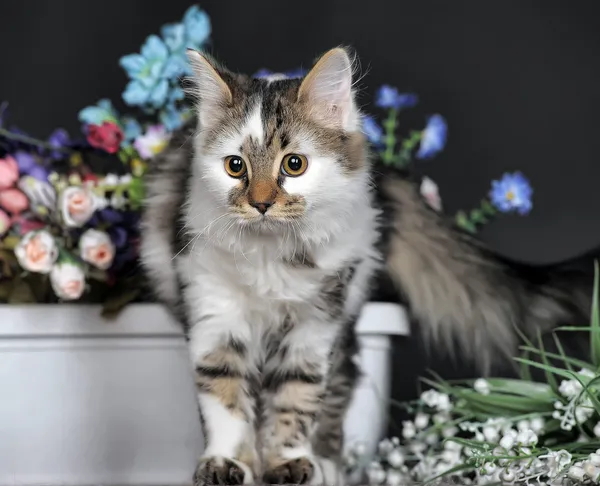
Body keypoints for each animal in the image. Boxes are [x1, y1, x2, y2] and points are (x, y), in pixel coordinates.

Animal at [139, 46, 592, 486]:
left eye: (294, 164)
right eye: (235, 166)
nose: (261, 203)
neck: (271, 256)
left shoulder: (316, 326)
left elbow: (296, 398)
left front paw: (289, 461)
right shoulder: (215, 314)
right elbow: (224, 398)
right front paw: (226, 462)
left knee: (337, 386)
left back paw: (326, 464)